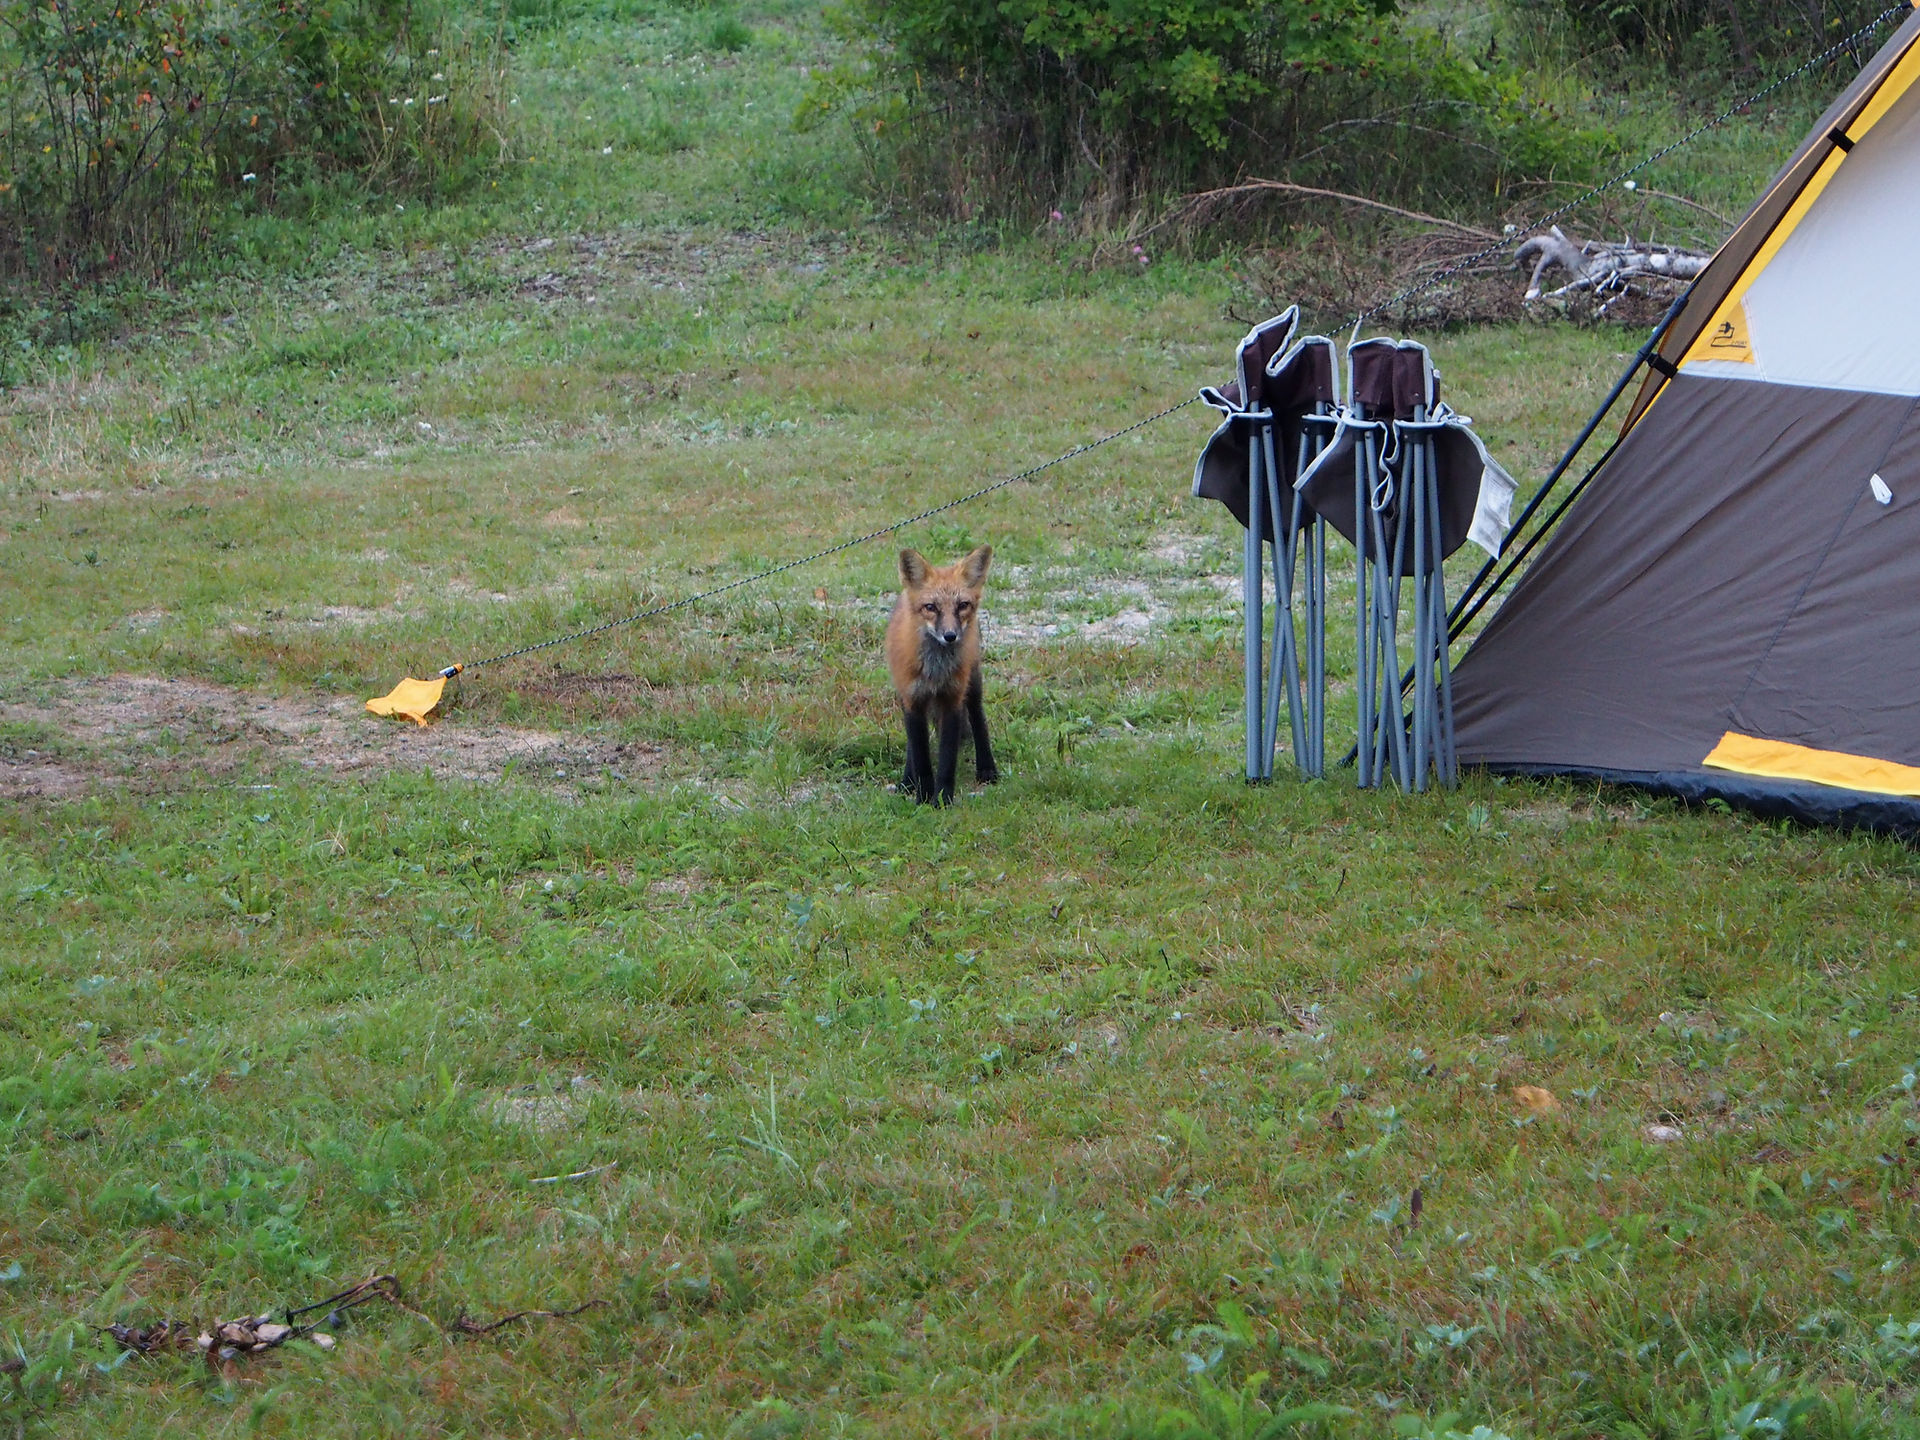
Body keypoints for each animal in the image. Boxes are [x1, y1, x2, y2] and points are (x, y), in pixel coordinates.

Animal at [886, 544, 998, 805]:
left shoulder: (952, 699)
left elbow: (947, 760)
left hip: (973, 682)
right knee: (912, 746)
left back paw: (987, 768)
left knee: (978, 718)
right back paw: (907, 781)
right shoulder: (913, 700)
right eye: (931, 607)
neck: (935, 672)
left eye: (962, 605)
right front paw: (924, 798)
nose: (950, 636)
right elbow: (921, 758)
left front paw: (943, 799)